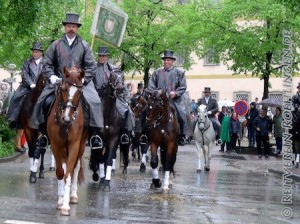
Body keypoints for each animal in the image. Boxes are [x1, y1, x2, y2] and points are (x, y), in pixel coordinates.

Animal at [46, 67, 87, 215]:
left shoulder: (74, 144)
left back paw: (73, 196)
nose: (67, 118)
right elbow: (60, 172)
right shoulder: (55, 144)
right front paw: (61, 200)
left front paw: (65, 205)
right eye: (63, 89)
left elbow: (68, 173)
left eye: (79, 92)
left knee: (76, 166)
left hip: (81, 146)